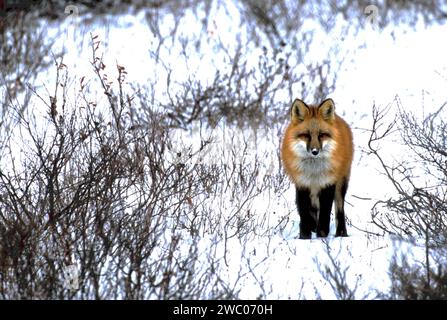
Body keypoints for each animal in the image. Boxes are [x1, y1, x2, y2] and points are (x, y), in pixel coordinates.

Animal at [282, 99, 356, 239]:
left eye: (322, 135)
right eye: (306, 135)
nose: (315, 151)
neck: (314, 172)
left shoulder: (328, 184)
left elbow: (325, 213)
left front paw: (322, 234)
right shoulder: (302, 184)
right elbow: (304, 212)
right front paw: (305, 236)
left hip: (341, 184)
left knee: (339, 209)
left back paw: (341, 233)